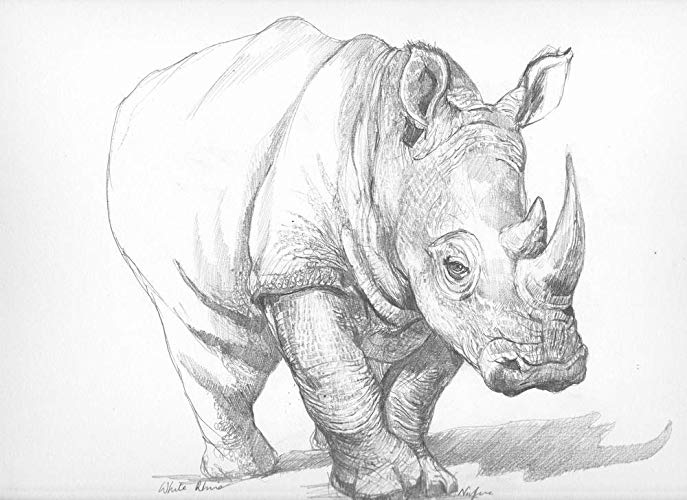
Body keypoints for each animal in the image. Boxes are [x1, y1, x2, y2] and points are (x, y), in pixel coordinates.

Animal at [107, 17, 586, 499]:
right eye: (455, 267)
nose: (550, 367)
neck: (390, 153)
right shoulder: (299, 267)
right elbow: (334, 372)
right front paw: (387, 487)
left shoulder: (437, 299)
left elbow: (416, 389)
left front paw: (429, 481)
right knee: (215, 336)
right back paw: (242, 472)